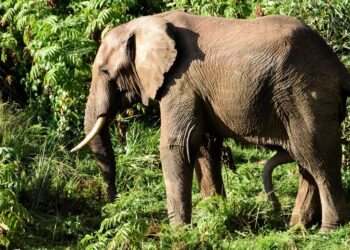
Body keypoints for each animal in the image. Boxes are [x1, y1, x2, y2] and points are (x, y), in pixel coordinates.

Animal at [71, 10, 350, 231]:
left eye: (105, 72)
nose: (112, 206)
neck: (147, 23)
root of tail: (338, 66)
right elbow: (204, 145)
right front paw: (214, 213)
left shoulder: (180, 82)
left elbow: (177, 144)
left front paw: (178, 231)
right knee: (306, 161)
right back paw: (297, 226)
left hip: (305, 94)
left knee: (317, 156)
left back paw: (328, 229)